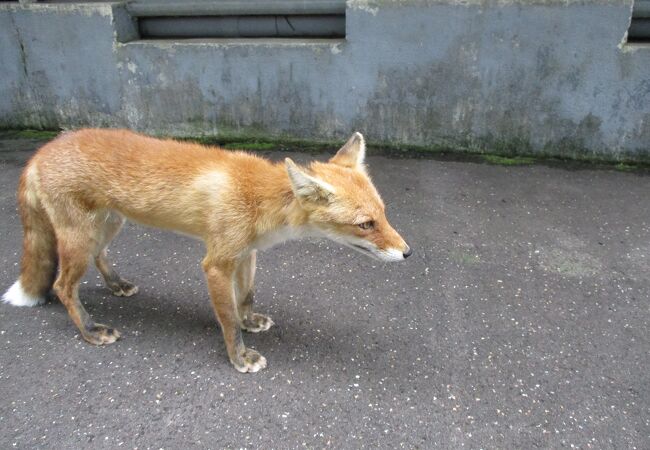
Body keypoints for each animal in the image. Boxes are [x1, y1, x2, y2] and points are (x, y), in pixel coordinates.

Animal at [1, 129, 410, 372]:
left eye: (383, 214)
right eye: (365, 225)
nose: (407, 253)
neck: (260, 199)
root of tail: (41, 151)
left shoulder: (246, 253)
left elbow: (245, 298)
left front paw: (250, 322)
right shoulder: (216, 264)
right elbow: (226, 318)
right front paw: (239, 356)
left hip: (108, 227)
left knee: (99, 258)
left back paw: (117, 285)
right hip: (80, 239)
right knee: (62, 287)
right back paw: (90, 330)